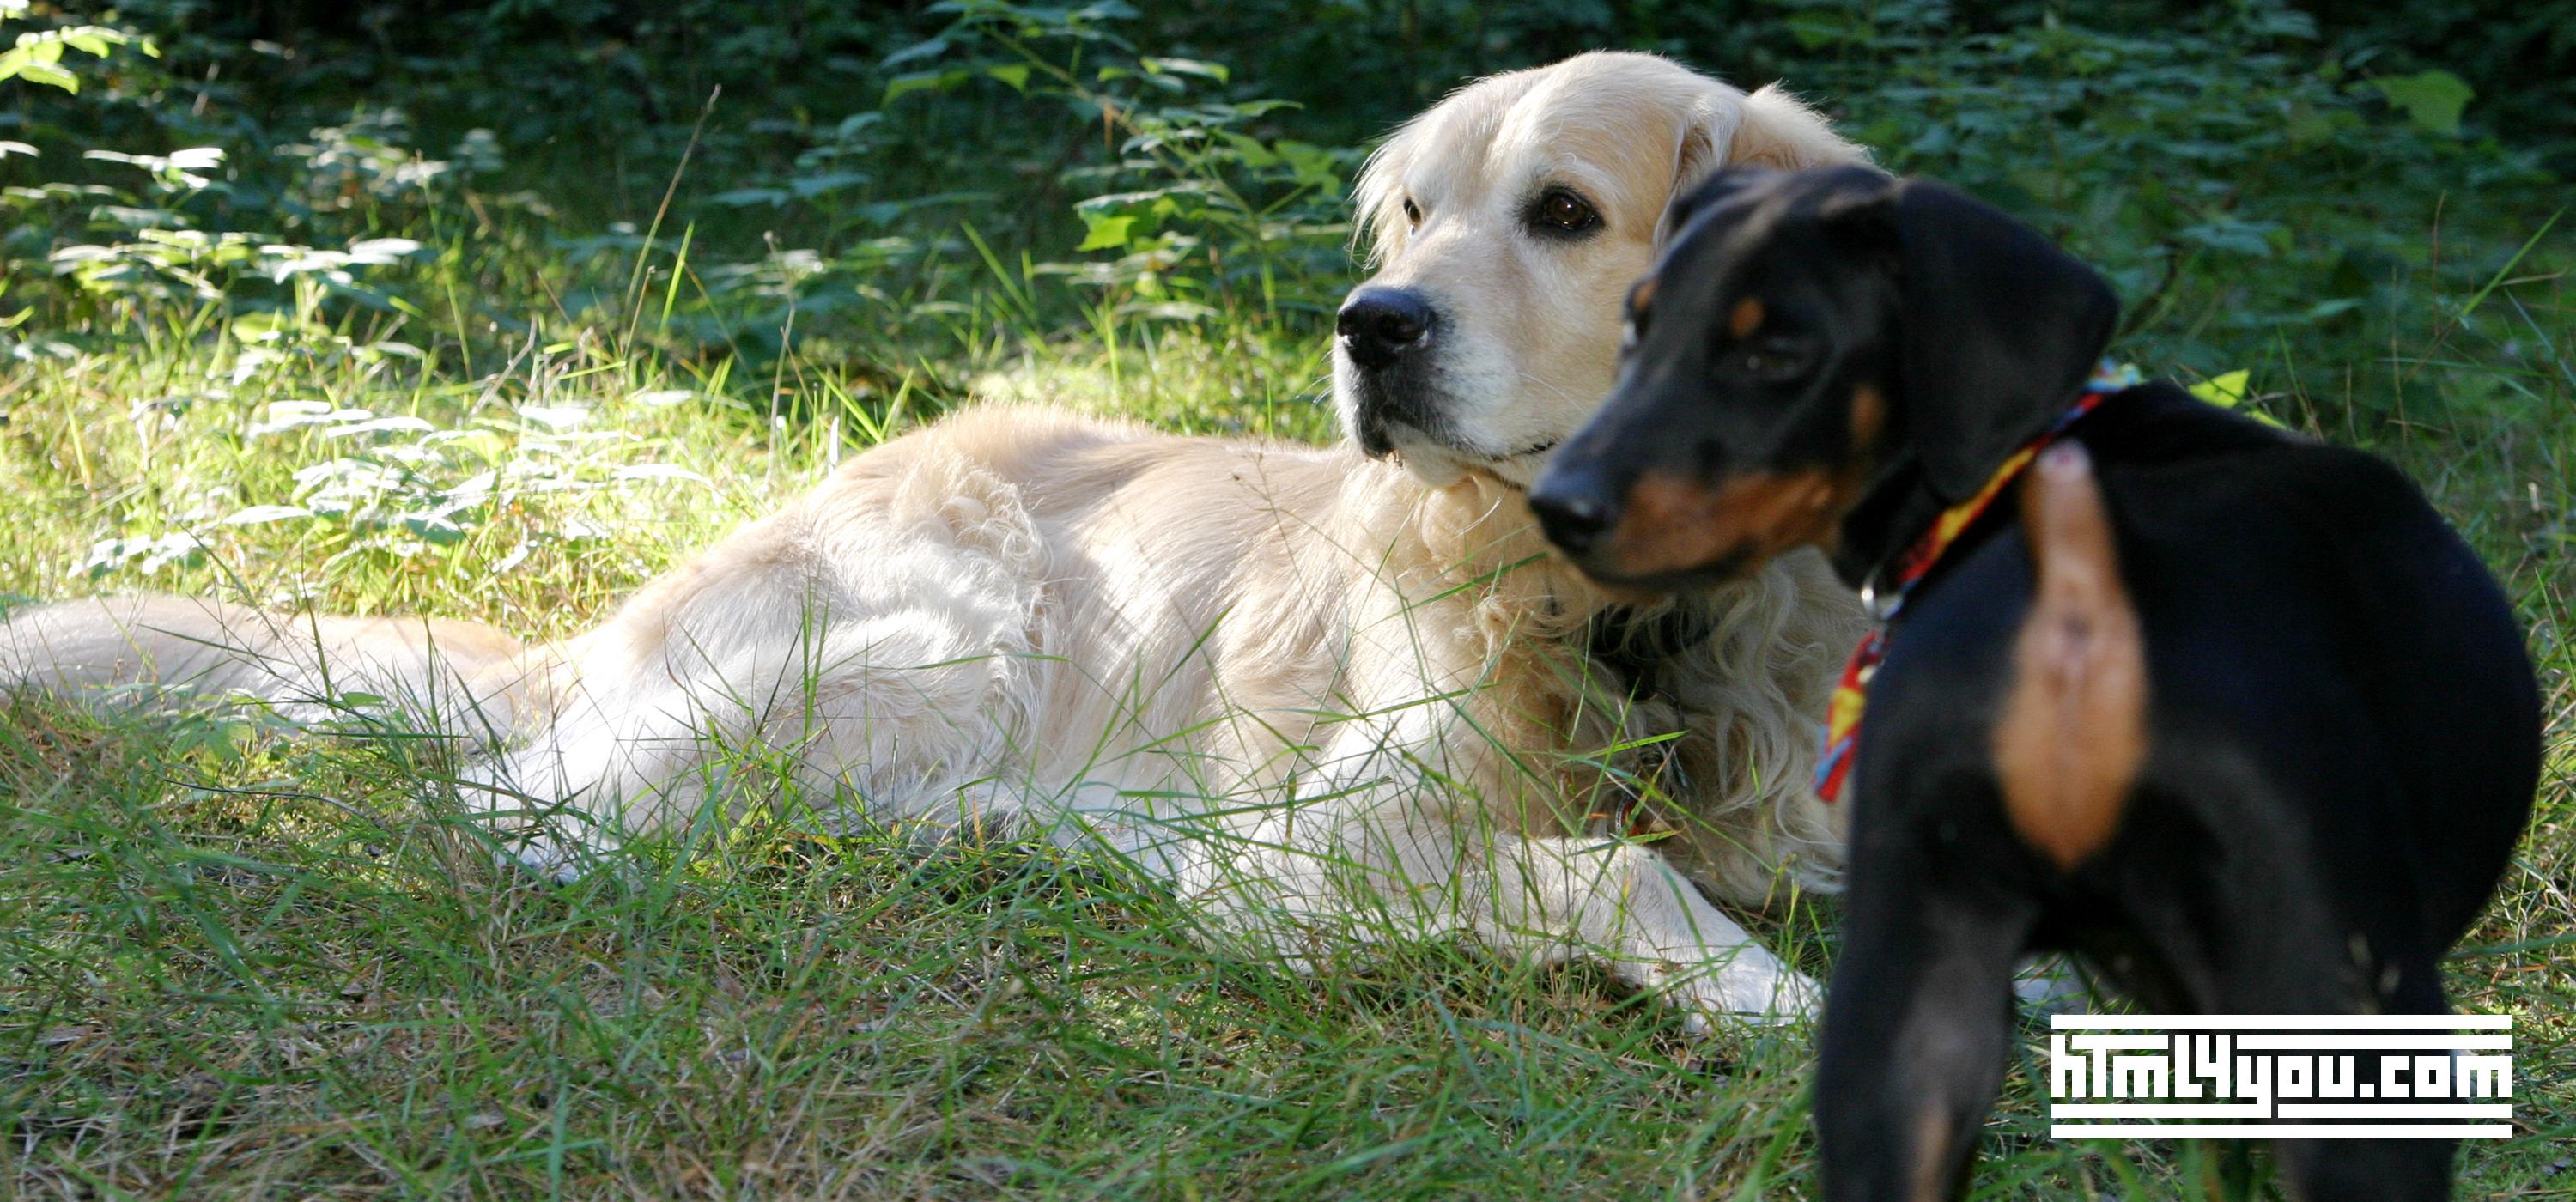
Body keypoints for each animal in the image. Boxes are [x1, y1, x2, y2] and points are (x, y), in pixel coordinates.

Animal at [1, 54, 1869, 1027]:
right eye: (1417, 211)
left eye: (1562, 213)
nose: (1371, 328)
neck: (1629, 616)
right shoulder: (1298, 848)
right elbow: (1607, 865)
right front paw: (1775, 1001)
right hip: (957, 631)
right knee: (530, 813)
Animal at [1528, 165, 2539, 1196]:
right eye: (1638, 328)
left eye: (1774, 353)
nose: (1558, 506)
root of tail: (2082, 602)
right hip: (2338, 992)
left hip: (1909, 995)